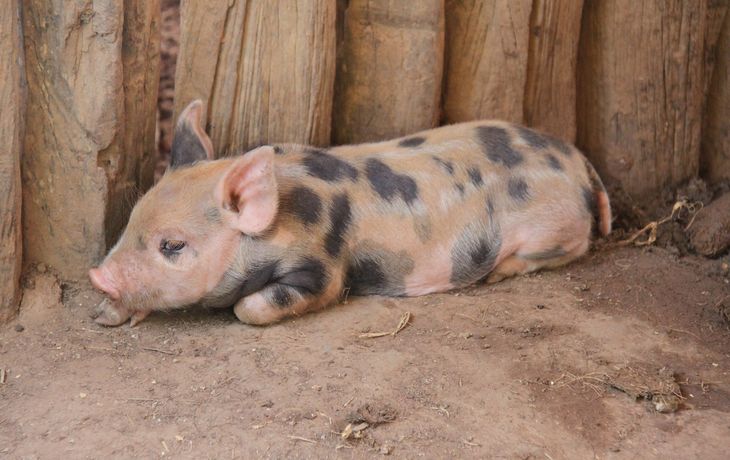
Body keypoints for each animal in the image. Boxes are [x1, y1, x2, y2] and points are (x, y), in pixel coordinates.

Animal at [89, 100, 611, 327]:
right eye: (130, 222)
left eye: (173, 245)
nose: (98, 276)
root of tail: (579, 162)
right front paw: (106, 315)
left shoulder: (323, 266)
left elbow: (251, 308)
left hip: (553, 229)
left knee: (571, 248)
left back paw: (500, 274)